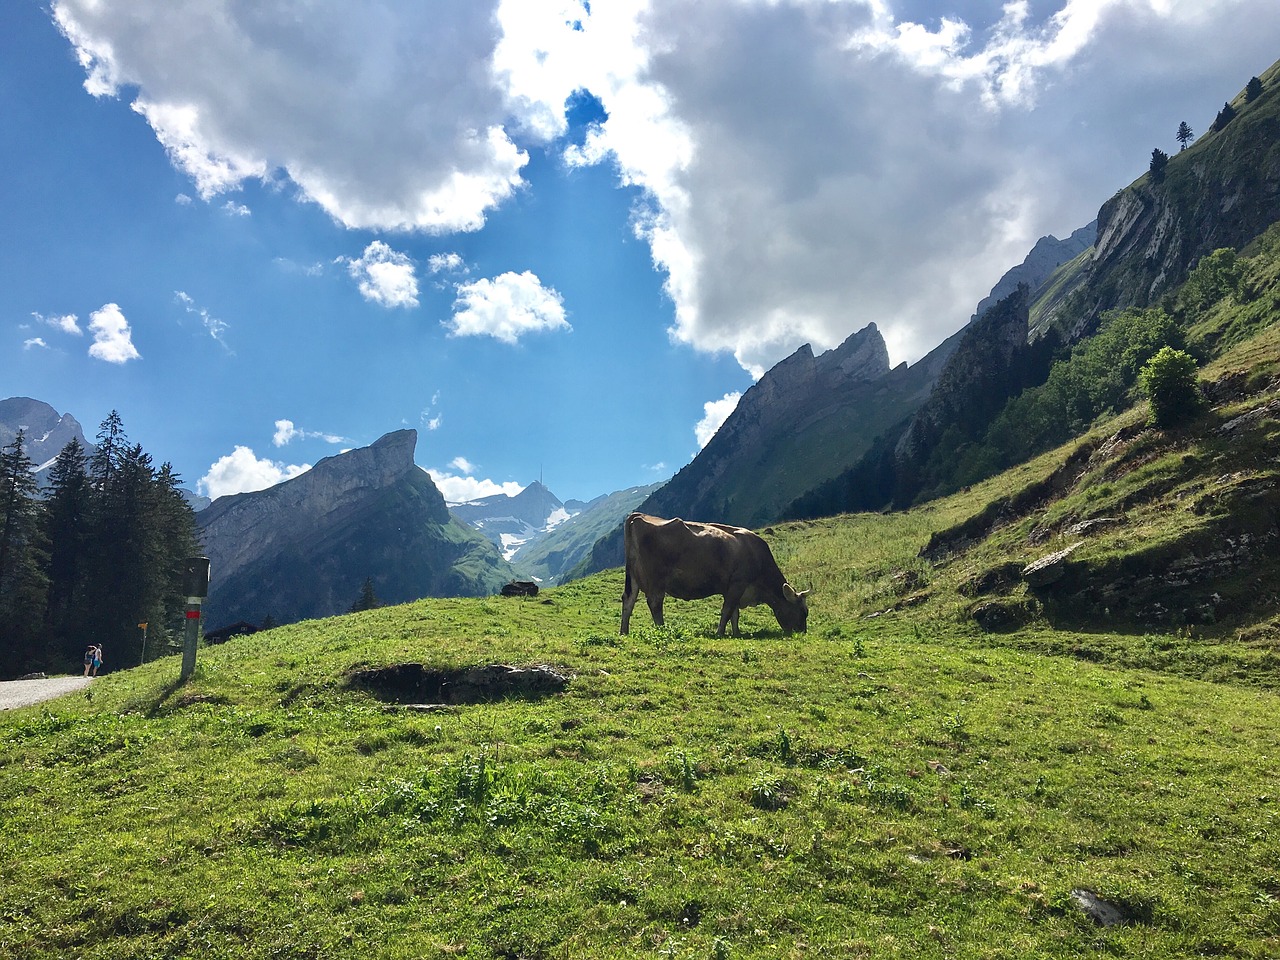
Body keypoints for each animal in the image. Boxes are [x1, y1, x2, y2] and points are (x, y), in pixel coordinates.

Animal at [622, 512, 808, 640]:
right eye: (803, 612)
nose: (803, 632)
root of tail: (638, 515)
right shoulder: (738, 583)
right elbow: (727, 610)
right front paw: (719, 633)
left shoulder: (732, 588)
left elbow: (734, 613)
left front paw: (736, 633)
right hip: (656, 579)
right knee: (655, 602)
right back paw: (662, 628)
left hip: (633, 576)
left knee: (628, 600)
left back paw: (624, 632)